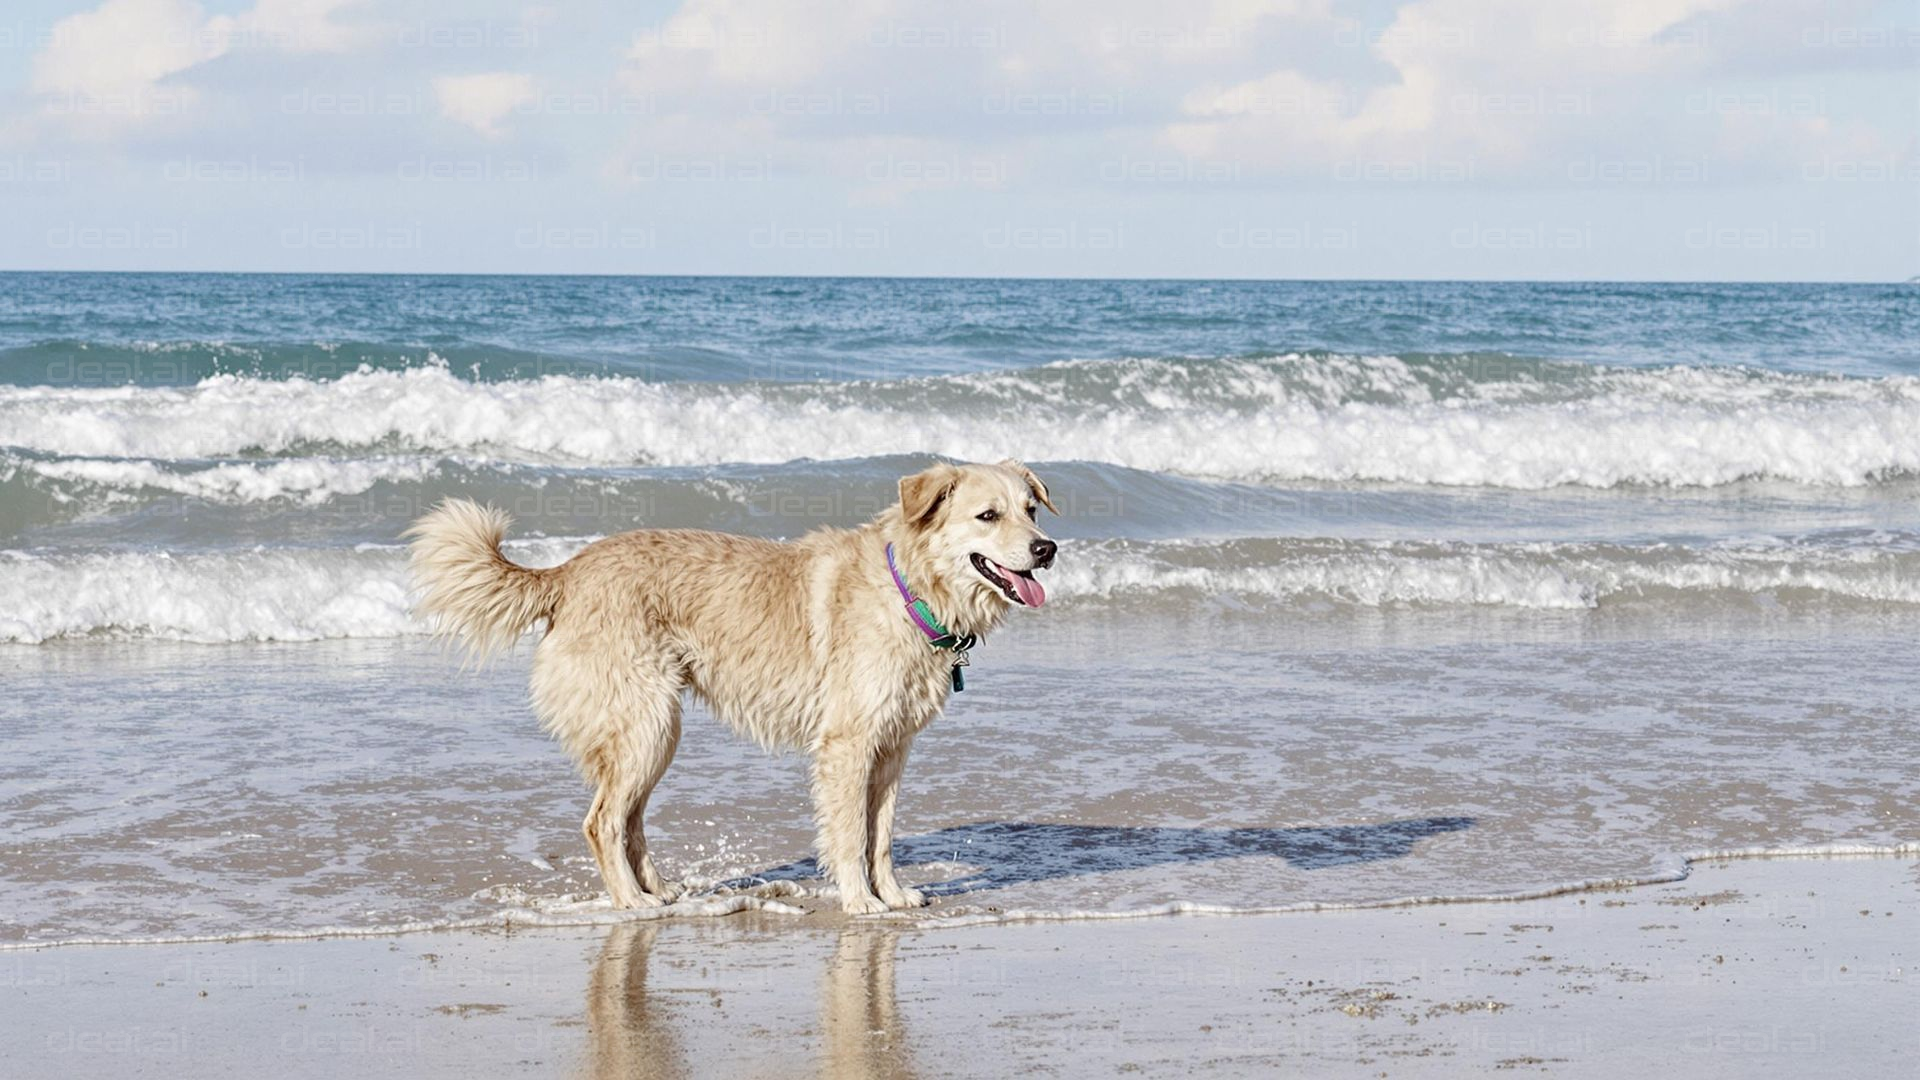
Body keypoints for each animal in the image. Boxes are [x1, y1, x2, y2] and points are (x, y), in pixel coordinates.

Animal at [407, 457, 1059, 910]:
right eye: (987, 515)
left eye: (1030, 509)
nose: (1047, 548)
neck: (909, 589)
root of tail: (565, 573)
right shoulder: (849, 747)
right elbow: (851, 836)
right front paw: (861, 903)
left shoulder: (893, 748)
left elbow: (881, 836)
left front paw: (893, 896)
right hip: (648, 723)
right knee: (602, 823)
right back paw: (631, 903)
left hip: (651, 735)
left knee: (629, 820)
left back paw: (659, 891)